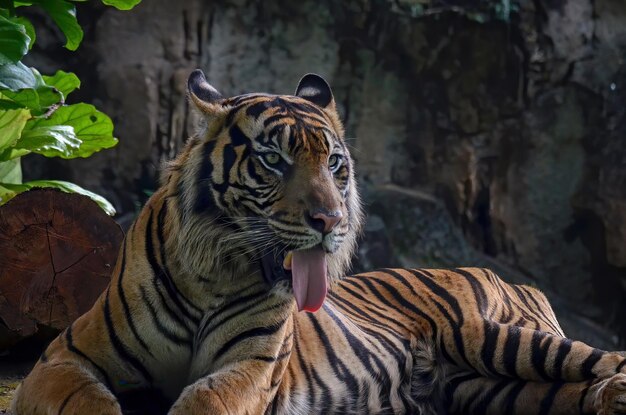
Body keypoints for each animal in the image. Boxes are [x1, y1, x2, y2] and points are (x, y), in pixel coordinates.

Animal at [12, 69, 624, 415]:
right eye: (273, 160)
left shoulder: (251, 366)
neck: (213, 275)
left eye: (334, 163)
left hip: (492, 336)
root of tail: (507, 275)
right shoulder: (65, 357)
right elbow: (86, 402)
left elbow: (205, 400)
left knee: (605, 358)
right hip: (489, 389)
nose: (331, 221)